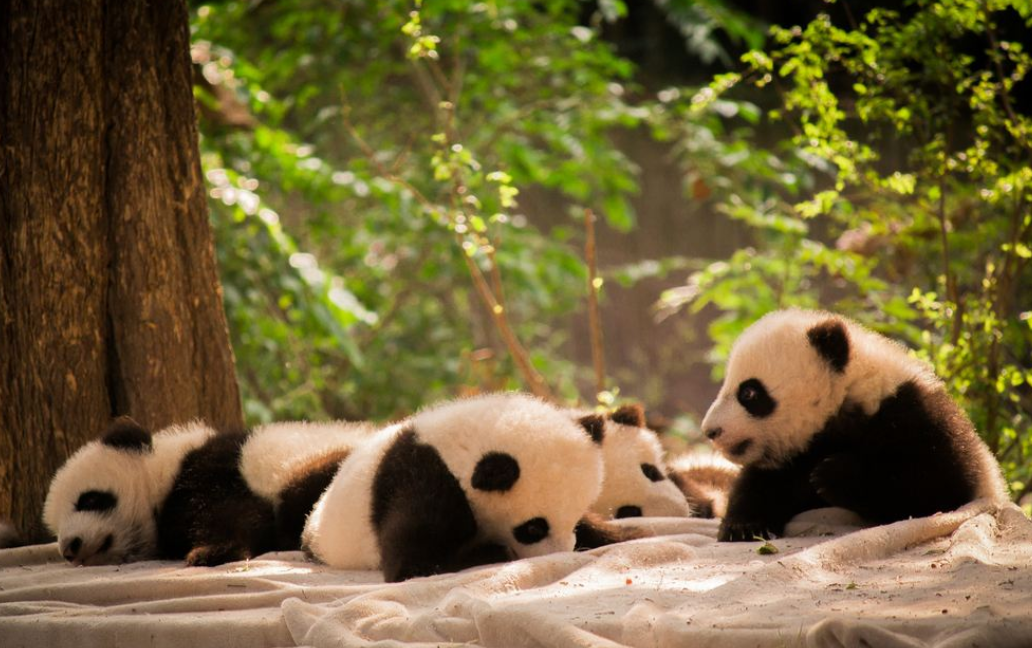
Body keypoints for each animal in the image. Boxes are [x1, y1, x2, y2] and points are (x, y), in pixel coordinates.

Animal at [44, 417, 371, 566]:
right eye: (55, 529)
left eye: (89, 499)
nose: (70, 548)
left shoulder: (215, 469)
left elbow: (231, 513)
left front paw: (213, 552)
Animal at [302, 392, 611, 582]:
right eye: (533, 528)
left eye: (572, 521)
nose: (560, 554)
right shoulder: (424, 478)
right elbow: (412, 565)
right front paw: (494, 552)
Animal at [700, 309, 1008, 542]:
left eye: (749, 393)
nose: (710, 431)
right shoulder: (794, 452)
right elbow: (761, 483)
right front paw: (744, 526)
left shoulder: (917, 417)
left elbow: (938, 489)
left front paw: (832, 474)